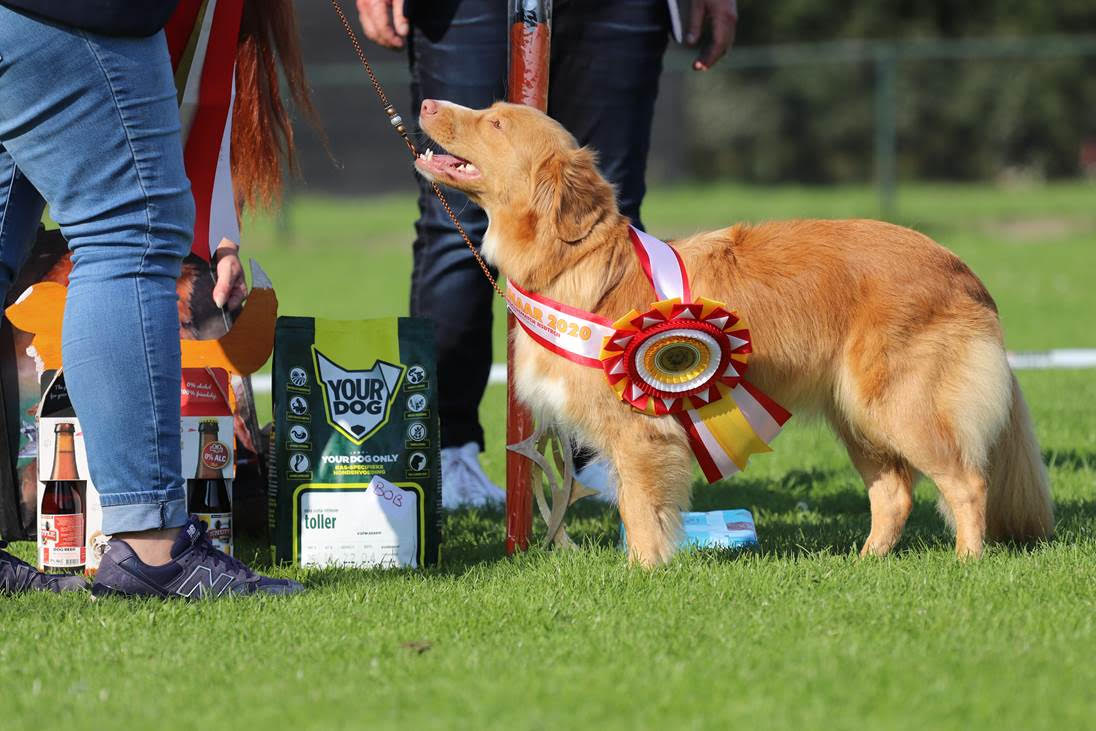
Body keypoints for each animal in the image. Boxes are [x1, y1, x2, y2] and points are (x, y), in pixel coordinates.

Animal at [412, 98, 1052, 565]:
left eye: (494, 122)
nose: (426, 102)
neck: (576, 262)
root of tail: (960, 267)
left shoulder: (640, 428)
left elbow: (640, 508)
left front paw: (643, 573)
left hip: (898, 404)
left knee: (967, 481)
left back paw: (967, 562)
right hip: (856, 417)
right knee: (894, 493)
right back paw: (865, 563)